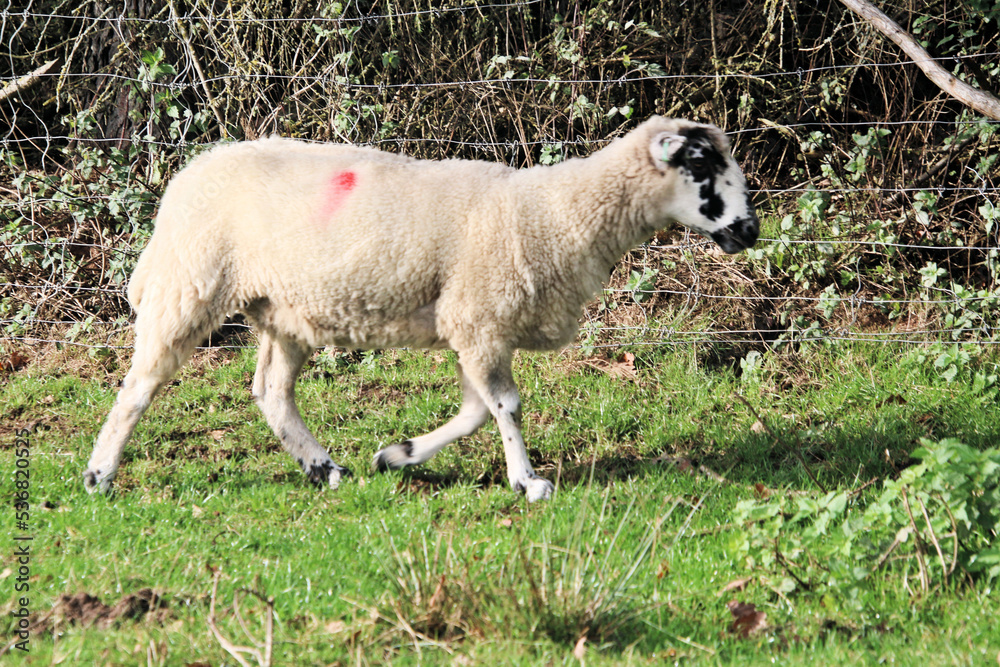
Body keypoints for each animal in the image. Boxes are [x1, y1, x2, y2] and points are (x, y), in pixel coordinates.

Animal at [84, 115, 759, 502]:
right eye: (701, 164)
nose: (750, 230)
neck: (557, 213)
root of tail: (186, 176)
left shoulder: (470, 321)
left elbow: (476, 412)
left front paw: (397, 456)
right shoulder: (481, 318)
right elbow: (506, 407)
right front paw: (528, 482)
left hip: (283, 308)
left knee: (272, 392)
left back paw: (324, 469)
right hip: (189, 284)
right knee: (139, 387)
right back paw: (99, 475)